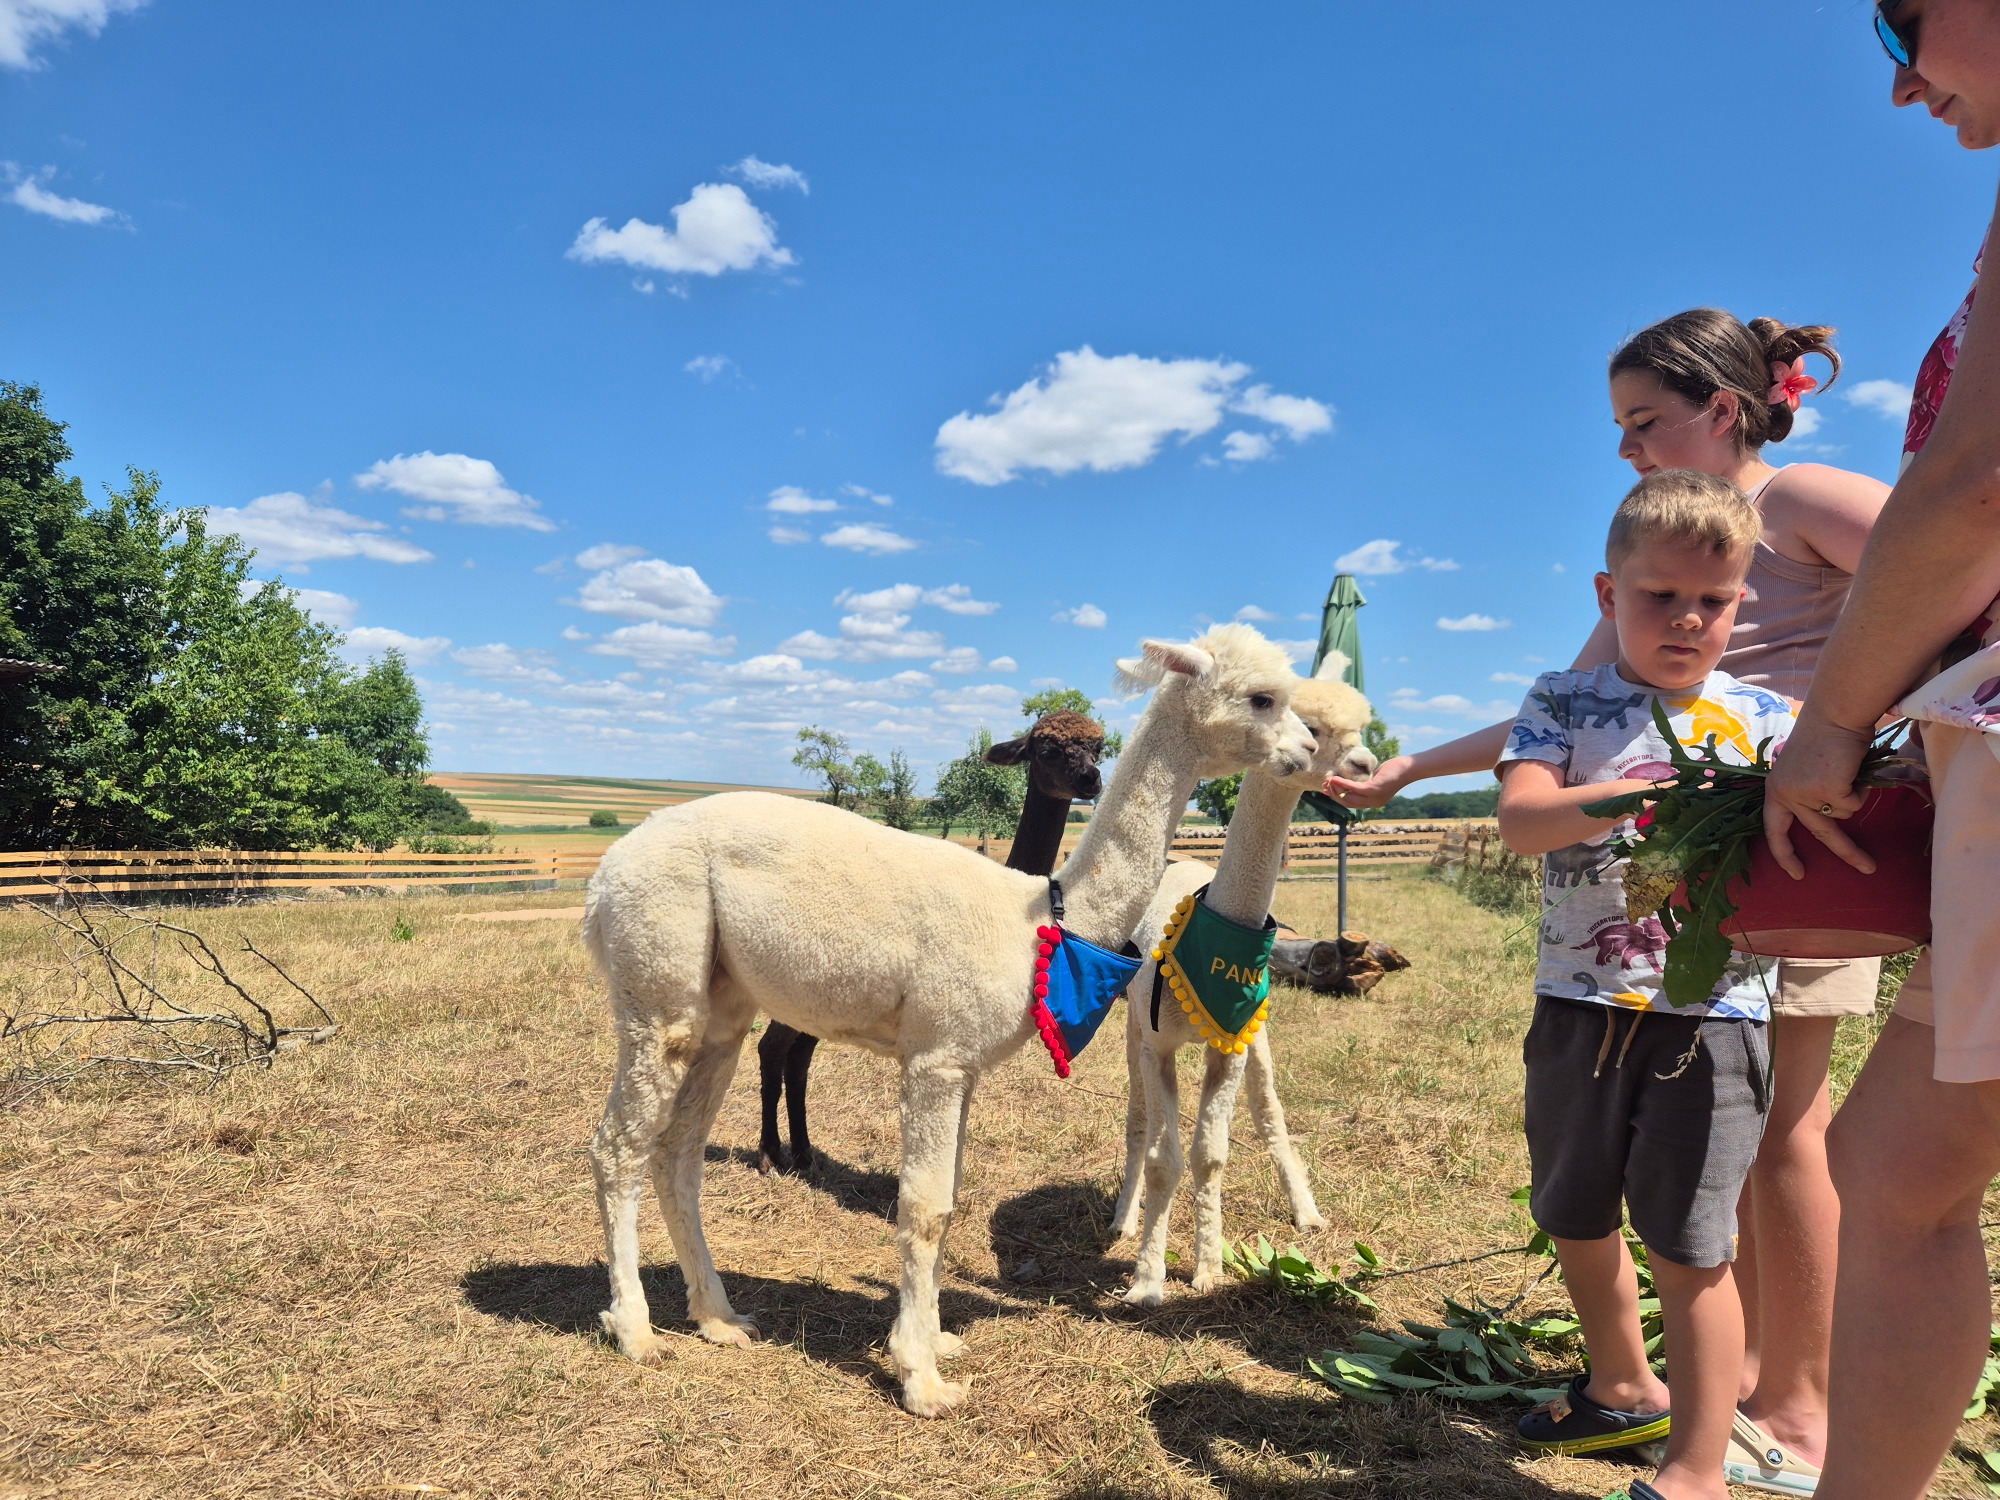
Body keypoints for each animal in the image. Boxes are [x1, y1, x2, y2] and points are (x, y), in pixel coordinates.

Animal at [755, 710, 1107, 1175]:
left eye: (1098, 747)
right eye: (1047, 750)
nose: (1090, 778)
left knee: (798, 1057)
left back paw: (803, 1151)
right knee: (772, 1048)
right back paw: (769, 1153)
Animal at [1110, 657, 1377, 1306]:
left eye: (1360, 726)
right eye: (1309, 726)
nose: (1366, 765)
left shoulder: (1231, 1039)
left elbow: (1210, 1155)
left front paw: (1208, 1266)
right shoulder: (1156, 1041)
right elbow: (1163, 1157)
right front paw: (1147, 1278)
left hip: (1258, 1034)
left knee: (1270, 1112)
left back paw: (1306, 1212)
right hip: (1133, 1026)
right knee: (1138, 1124)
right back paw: (1124, 1219)